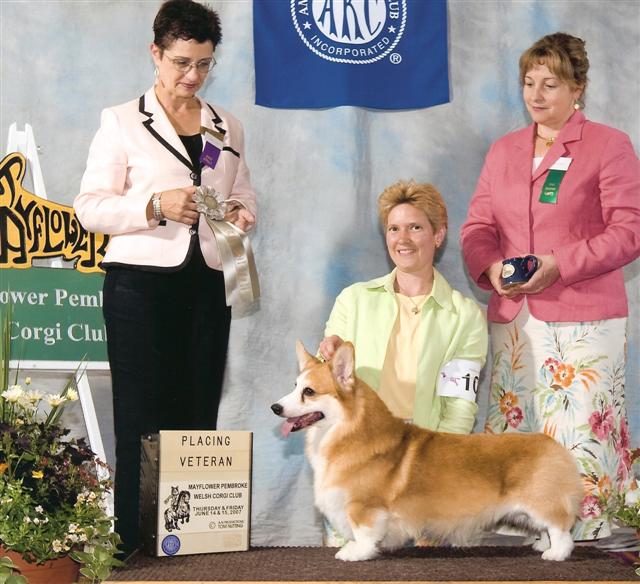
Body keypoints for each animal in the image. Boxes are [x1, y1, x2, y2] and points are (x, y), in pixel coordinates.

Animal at [271, 341, 582, 562]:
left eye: (309, 392)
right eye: (295, 386)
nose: (275, 407)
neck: (346, 430)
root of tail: (554, 445)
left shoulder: (364, 506)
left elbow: (364, 533)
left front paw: (354, 553)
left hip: (541, 502)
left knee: (560, 528)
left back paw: (555, 553)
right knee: (548, 528)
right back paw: (542, 545)